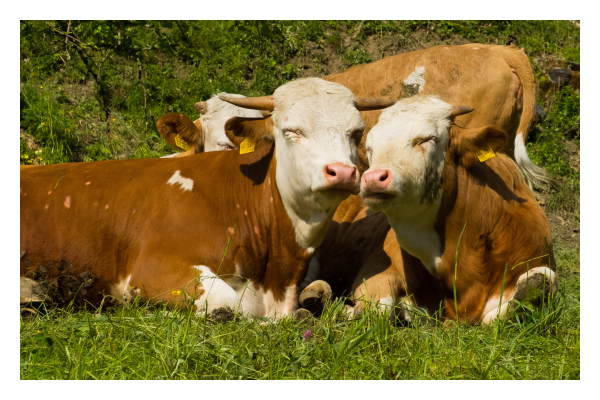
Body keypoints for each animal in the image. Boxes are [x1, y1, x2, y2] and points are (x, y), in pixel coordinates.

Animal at [19, 78, 394, 318]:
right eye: (290, 131)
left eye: (356, 133)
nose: (341, 172)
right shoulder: (151, 271)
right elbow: (230, 304)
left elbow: (321, 286)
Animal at [304, 94, 556, 324]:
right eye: (370, 148)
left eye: (427, 139)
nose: (373, 178)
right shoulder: (378, 268)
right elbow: (379, 309)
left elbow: (538, 283)